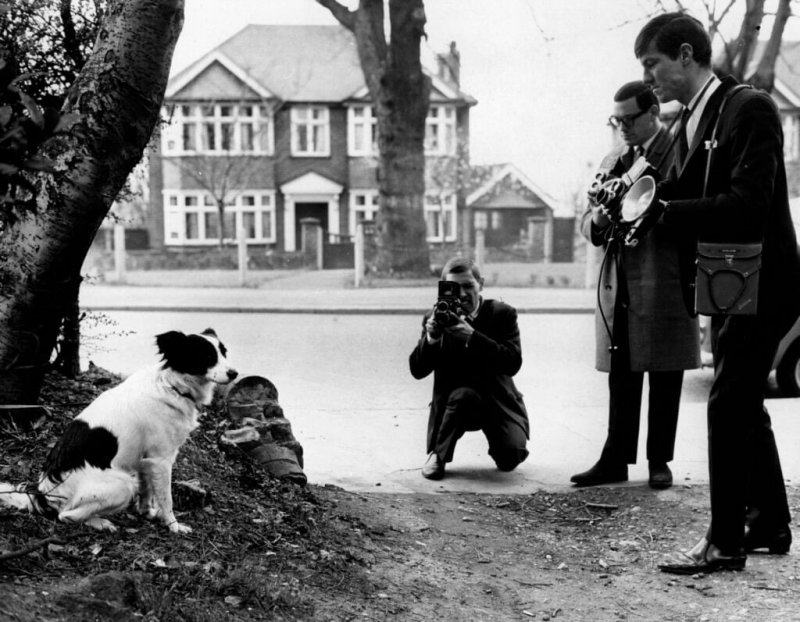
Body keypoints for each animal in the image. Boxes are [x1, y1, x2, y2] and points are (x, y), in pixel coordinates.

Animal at [0, 332, 236, 536]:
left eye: (224, 352)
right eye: (207, 356)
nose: (234, 374)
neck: (172, 386)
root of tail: (43, 495)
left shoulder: (146, 460)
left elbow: (147, 490)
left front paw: (147, 513)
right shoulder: (161, 460)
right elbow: (166, 499)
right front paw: (173, 526)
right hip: (122, 485)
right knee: (65, 515)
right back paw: (101, 522)